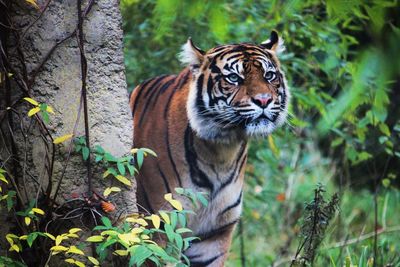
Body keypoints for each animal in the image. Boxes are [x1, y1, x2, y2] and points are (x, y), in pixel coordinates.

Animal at [130, 31, 290, 267]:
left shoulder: (214, 234)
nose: (264, 100)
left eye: (269, 76)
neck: (221, 150)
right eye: (234, 78)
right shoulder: (159, 226)